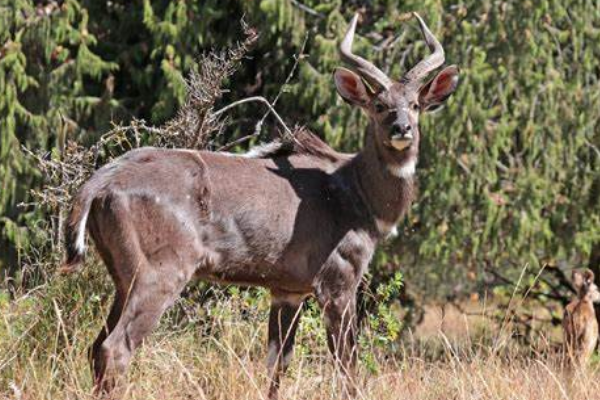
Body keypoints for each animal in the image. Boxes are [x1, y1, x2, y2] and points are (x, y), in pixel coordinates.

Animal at [63, 12, 460, 400]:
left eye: (415, 104)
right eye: (379, 105)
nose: (402, 128)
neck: (356, 196)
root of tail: (100, 183)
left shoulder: (287, 291)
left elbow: (277, 365)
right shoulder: (338, 281)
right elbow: (347, 368)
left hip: (123, 278)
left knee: (94, 346)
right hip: (159, 273)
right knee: (115, 348)